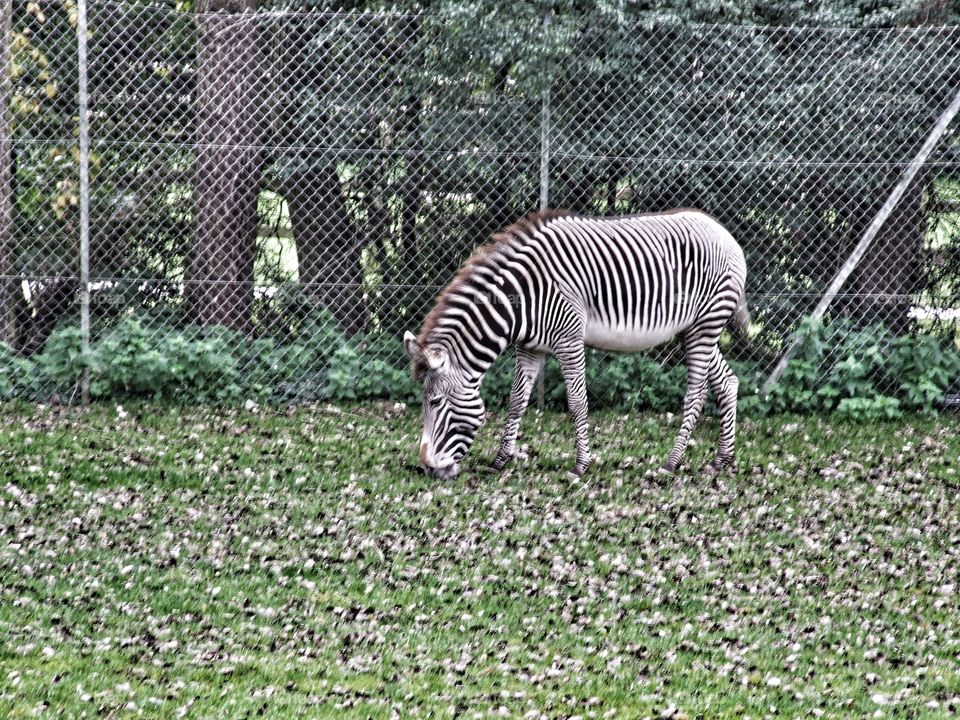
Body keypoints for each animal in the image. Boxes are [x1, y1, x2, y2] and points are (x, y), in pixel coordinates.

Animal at [404, 209, 748, 480]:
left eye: (434, 402)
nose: (426, 468)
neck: (522, 298)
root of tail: (725, 234)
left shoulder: (569, 339)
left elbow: (577, 402)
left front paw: (581, 465)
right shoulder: (530, 348)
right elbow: (517, 402)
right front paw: (500, 460)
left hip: (705, 325)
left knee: (696, 393)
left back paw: (672, 462)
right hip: (693, 329)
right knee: (727, 381)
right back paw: (723, 460)